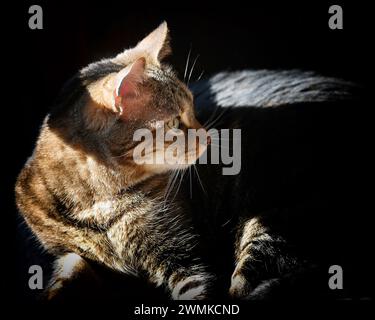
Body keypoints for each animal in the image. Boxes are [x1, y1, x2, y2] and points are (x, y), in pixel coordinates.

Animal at [16, 21, 366, 300]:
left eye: (194, 108)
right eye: (174, 122)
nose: (209, 137)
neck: (97, 203)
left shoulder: (186, 259)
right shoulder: (71, 255)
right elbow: (67, 274)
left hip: (269, 217)